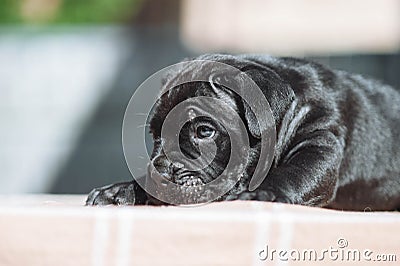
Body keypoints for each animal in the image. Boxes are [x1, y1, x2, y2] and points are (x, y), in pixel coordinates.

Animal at [86, 54, 398, 211]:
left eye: (204, 131)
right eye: (154, 135)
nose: (162, 173)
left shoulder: (320, 142)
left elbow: (296, 173)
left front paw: (263, 193)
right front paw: (121, 190)